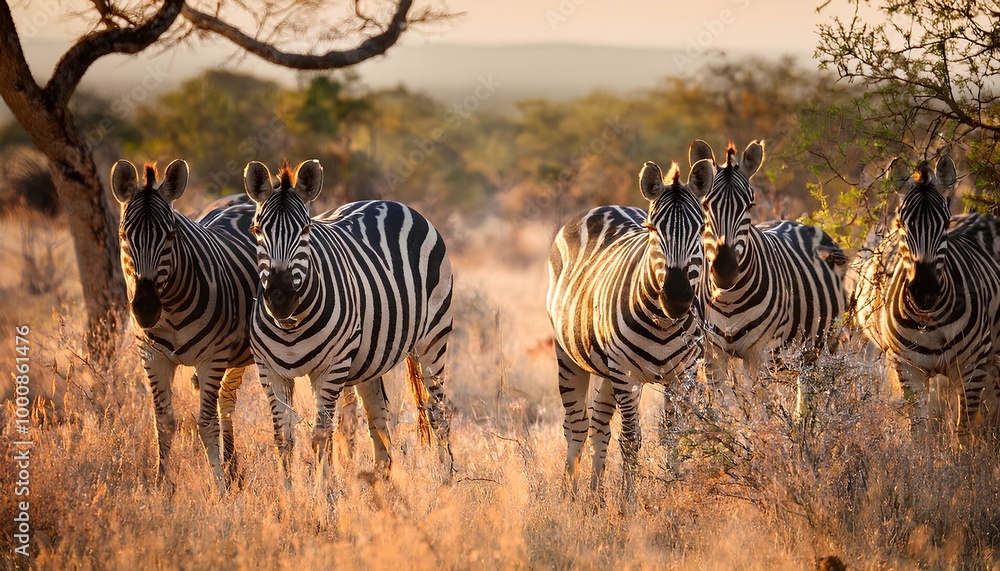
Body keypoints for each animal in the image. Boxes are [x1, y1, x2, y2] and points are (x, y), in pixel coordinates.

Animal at [111, 159, 258, 491]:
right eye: (124, 235)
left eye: (170, 235)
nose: (146, 309)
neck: (172, 311)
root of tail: (239, 200)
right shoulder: (152, 356)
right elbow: (164, 422)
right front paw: (162, 486)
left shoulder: (212, 358)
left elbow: (205, 423)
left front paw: (220, 488)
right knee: (224, 401)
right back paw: (233, 469)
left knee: (225, 402)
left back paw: (232, 472)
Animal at [243, 159, 454, 487]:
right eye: (256, 229)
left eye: (306, 229)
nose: (279, 298)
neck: (291, 325)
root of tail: (392, 203)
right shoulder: (270, 372)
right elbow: (284, 438)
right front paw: (287, 498)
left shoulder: (331, 368)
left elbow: (321, 435)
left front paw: (324, 495)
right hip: (369, 357)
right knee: (378, 414)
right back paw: (381, 483)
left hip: (434, 338)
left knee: (438, 412)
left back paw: (446, 482)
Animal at [547, 157, 715, 495]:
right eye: (652, 229)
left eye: (701, 229)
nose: (676, 297)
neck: (664, 323)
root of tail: (606, 206)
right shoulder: (625, 373)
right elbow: (630, 439)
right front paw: (628, 500)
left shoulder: (685, 373)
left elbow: (675, 434)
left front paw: (673, 492)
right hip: (570, 355)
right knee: (576, 425)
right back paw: (570, 495)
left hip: (606, 367)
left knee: (598, 423)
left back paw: (595, 496)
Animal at [693, 140, 847, 413]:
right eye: (705, 205)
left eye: (749, 206)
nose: (725, 271)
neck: (728, 300)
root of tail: (795, 222)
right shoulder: (713, 353)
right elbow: (722, 407)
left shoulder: (760, 354)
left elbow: (762, 409)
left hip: (825, 344)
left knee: (815, 392)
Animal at [852, 156, 1000, 429]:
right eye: (901, 223)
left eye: (946, 223)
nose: (924, 291)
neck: (930, 318)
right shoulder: (909, 370)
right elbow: (919, 430)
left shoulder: (972, 368)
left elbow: (964, 429)